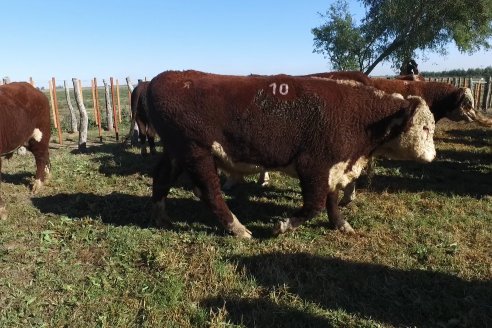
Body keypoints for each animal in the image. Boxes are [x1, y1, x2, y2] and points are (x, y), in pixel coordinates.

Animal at [145, 70, 434, 238]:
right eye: (424, 127)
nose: (432, 157)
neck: (358, 115)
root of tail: (167, 77)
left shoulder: (334, 166)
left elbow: (331, 200)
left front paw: (340, 224)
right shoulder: (314, 165)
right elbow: (315, 205)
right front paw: (282, 226)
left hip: (176, 151)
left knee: (161, 177)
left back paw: (161, 217)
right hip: (196, 152)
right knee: (210, 193)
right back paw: (238, 229)